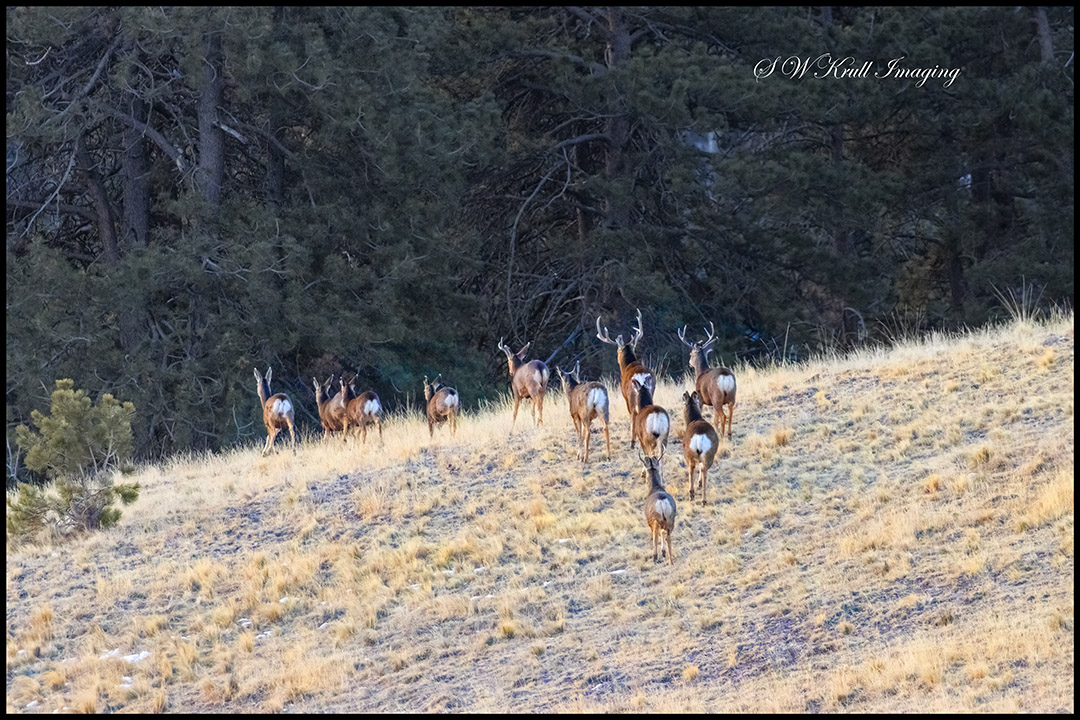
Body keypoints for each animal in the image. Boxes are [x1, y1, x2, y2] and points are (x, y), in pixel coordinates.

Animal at [596, 308, 656, 437]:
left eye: (617, 351)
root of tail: (640, 376)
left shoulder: (625, 396)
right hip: (651, 390)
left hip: (631, 397)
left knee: (634, 415)